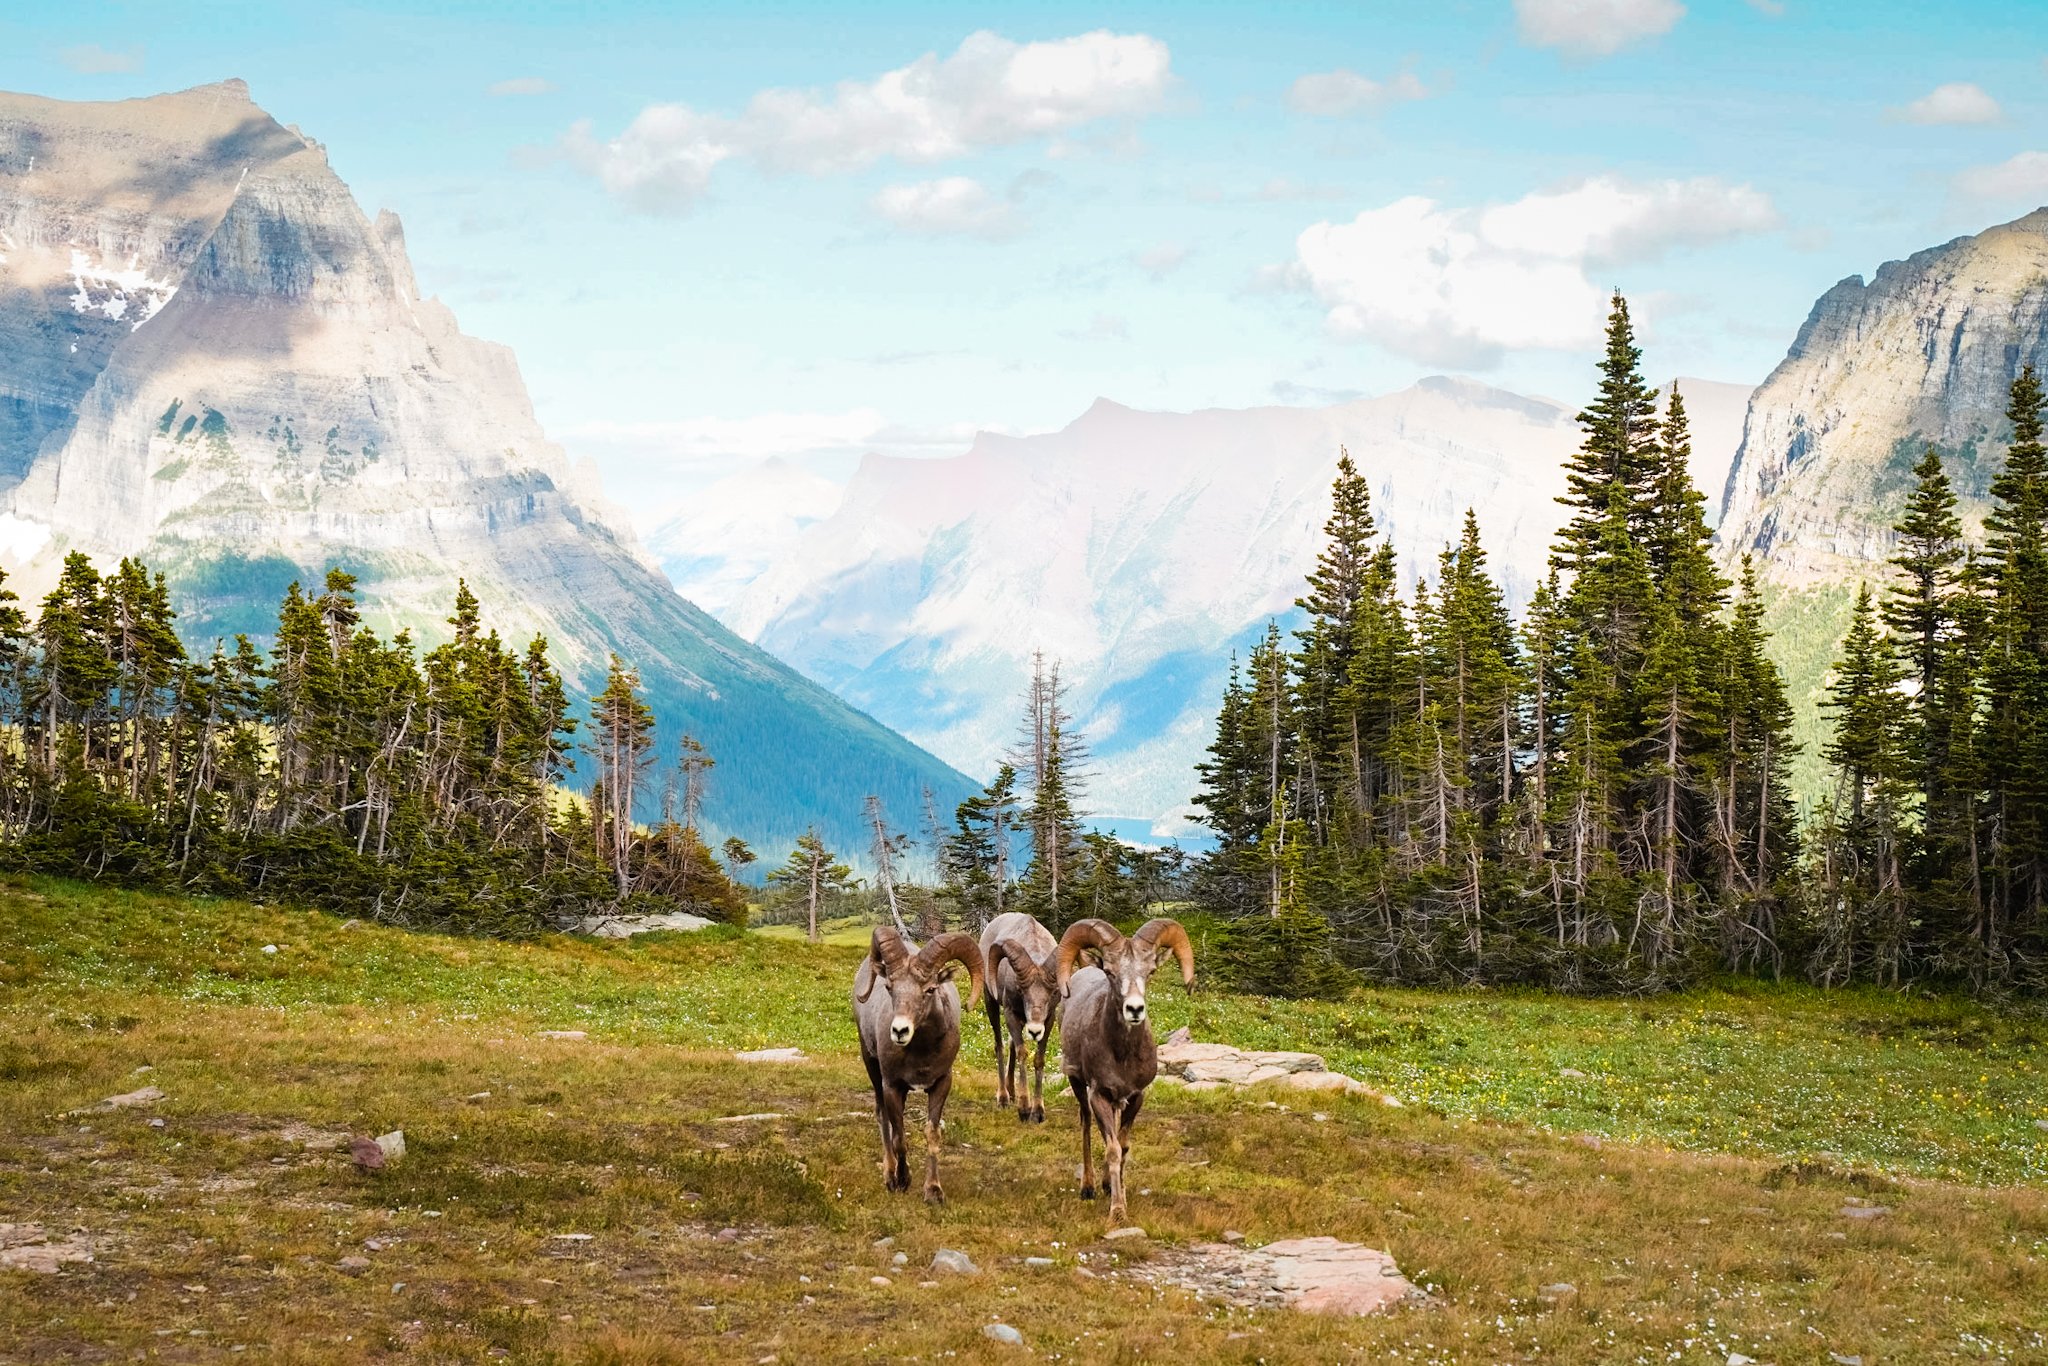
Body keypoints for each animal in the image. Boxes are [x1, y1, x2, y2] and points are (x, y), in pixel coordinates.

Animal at [851, 925, 987, 1204]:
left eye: (930, 989)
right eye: (890, 987)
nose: (899, 1031)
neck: (922, 1053)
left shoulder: (941, 1083)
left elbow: (932, 1134)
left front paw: (933, 1191)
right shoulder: (892, 1086)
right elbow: (899, 1138)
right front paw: (902, 1181)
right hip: (872, 1067)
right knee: (883, 1118)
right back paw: (890, 1175)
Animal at [983, 913, 1064, 1130]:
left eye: (1052, 992)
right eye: (1021, 990)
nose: (1034, 1030)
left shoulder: (1049, 1020)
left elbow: (1038, 1059)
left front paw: (1038, 1113)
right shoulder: (1010, 1013)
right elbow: (1022, 1053)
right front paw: (1024, 1111)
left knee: (1011, 1044)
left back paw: (1011, 1092)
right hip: (991, 1003)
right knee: (1001, 1046)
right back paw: (1004, 1098)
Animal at [1056, 925, 1196, 1220]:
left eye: (1150, 971)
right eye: (1110, 972)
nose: (1134, 1009)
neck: (1122, 1057)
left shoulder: (1135, 1096)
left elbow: (1124, 1146)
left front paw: (1117, 1192)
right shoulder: (1099, 1094)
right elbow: (1112, 1150)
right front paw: (1118, 1211)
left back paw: (1106, 1185)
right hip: (1078, 1085)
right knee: (1086, 1125)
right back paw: (1089, 1188)